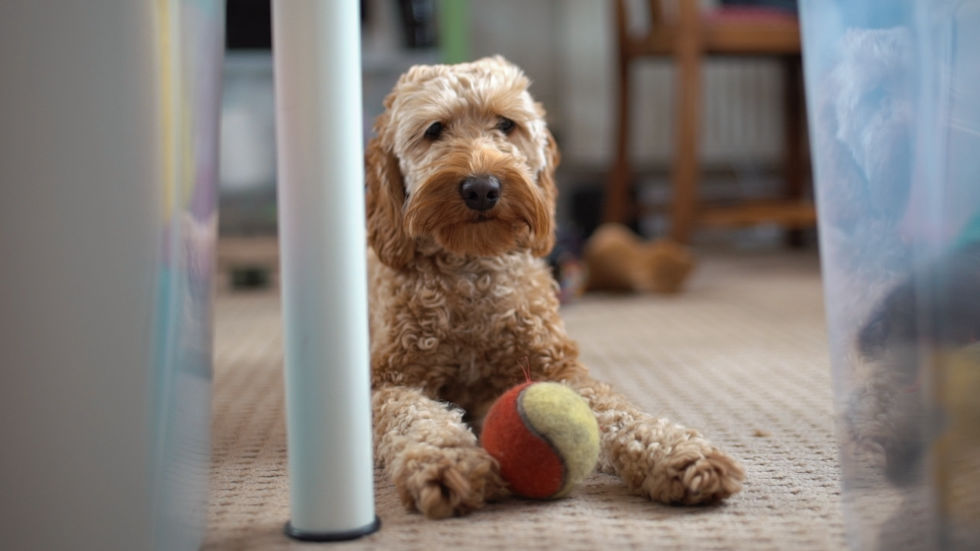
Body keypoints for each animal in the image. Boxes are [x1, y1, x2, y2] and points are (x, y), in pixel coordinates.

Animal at [364, 58, 740, 520]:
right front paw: (448, 461)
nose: (482, 188)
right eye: (434, 130)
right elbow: (417, 417)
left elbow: (616, 410)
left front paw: (677, 452)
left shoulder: (556, 370)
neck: (473, 269)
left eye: (506, 124)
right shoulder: (391, 381)